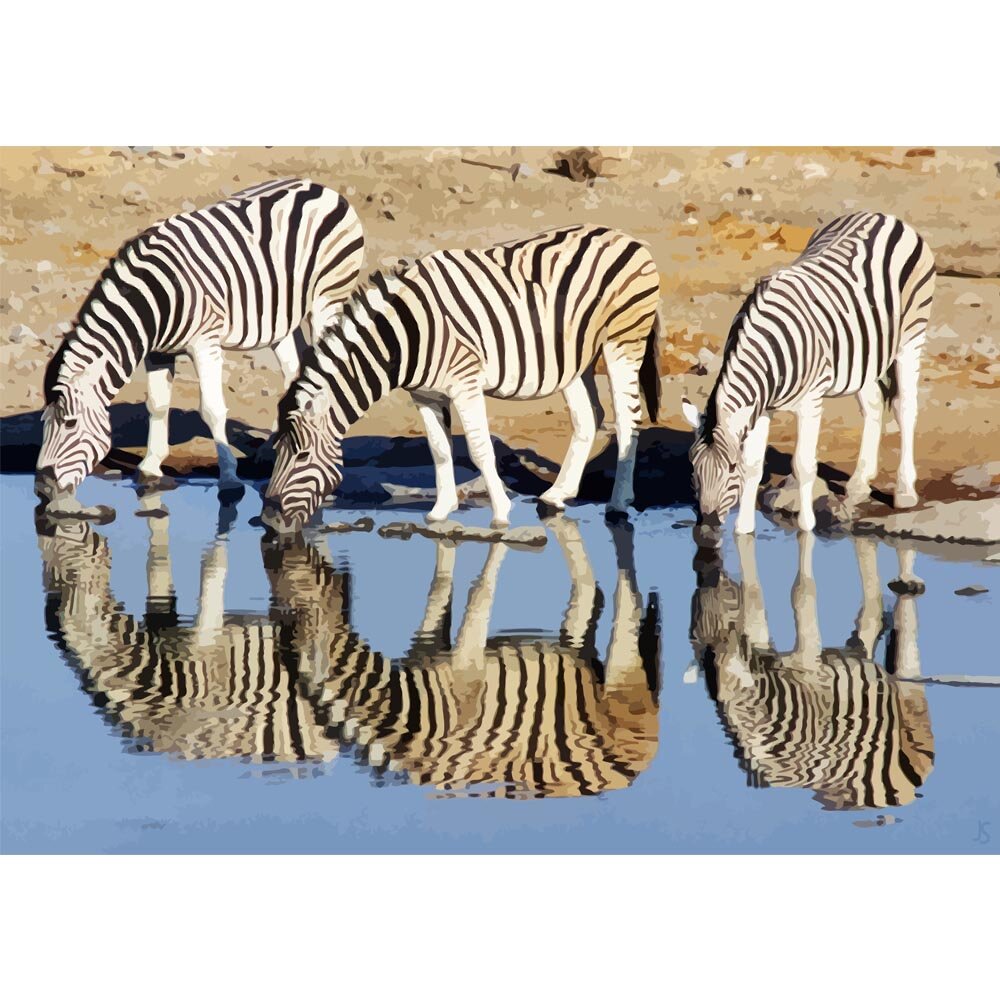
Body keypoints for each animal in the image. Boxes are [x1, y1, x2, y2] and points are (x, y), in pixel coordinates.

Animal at [36, 177, 364, 508]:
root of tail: (317, 185)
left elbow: (212, 409)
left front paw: (229, 478)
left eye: (70, 423)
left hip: (327, 299)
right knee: (293, 373)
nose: (42, 488)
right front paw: (150, 468)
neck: (157, 299)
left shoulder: (206, 345)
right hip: (283, 318)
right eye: (44, 422)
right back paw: (268, 449)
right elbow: (157, 404)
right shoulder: (158, 352)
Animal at [262, 224, 662, 533]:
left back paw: (618, 504)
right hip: (574, 357)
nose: (268, 520)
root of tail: (625, 236)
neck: (404, 337)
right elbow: (439, 450)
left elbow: (479, 448)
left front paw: (501, 513)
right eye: (277, 452)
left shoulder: (465, 382)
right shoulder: (424, 394)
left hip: (623, 340)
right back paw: (557, 495)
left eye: (301, 455)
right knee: (589, 416)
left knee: (627, 421)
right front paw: (440, 512)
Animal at [681, 211, 936, 536]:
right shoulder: (762, 406)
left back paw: (904, 492)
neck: (769, 349)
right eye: (693, 467)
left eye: (729, 468)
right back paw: (859, 485)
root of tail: (882, 216)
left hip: (911, 335)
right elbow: (754, 464)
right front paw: (744, 530)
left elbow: (803, 465)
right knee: (874, 406)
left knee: (905, 407)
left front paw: (806, 527)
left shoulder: (810, 401)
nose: (709, 523)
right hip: (865, 355)